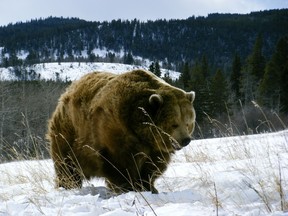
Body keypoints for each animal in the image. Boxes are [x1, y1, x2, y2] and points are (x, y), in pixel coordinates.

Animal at [47, 69, 196, 194]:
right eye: (174, 124)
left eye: (188, 123)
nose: (185, 140)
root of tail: (66, 93)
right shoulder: (115, 131)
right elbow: (120, 164)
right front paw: (128, 187)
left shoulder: (155, 147)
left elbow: (152, 167)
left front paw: (149, 186)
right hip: (69, 133)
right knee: (66, 164)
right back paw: (67, 185)